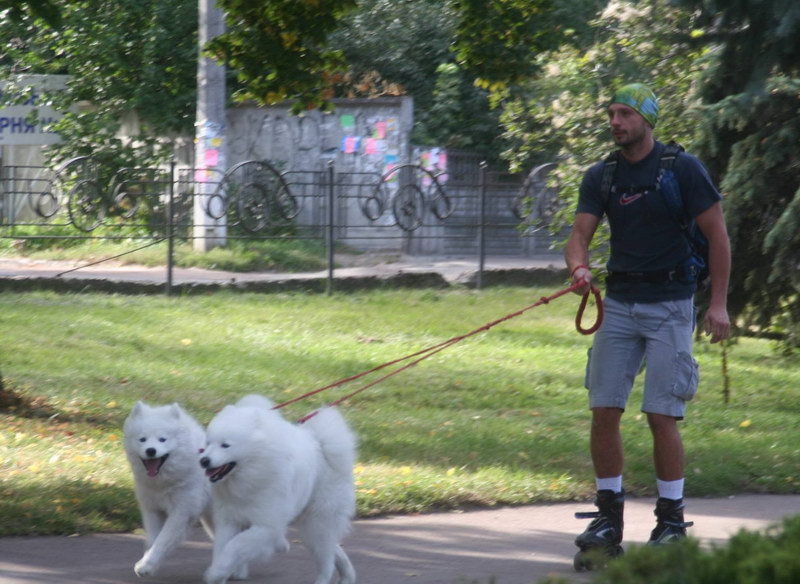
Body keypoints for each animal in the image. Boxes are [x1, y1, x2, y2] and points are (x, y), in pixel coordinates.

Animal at [123, 401, 213, 577]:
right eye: (142, 439)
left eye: (162, 439)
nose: (151, 450)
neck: (163, 484)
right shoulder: (152, 509)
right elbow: (153, 539)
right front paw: (148, 562)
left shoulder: (181, 511)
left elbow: (162, 540)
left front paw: (146, 565)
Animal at [200, 394, 357, 584]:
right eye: (208, 443)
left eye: (225, 445)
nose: (204, 460)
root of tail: (322, 445)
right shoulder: (229, 520)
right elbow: (221, 549)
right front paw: (219, 573)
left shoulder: (267, 526)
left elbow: (235, 546)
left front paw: (216, 572)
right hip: (311, 524)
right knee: (333, 550)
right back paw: (347, 576)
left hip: (317, 522)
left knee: (326, 561)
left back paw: (323, 579)